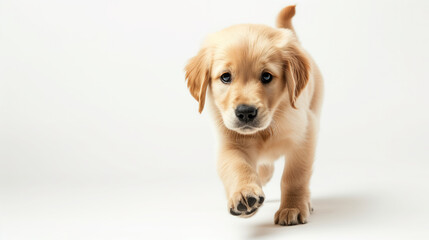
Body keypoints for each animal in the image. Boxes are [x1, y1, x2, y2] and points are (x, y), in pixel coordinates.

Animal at [184, 5, 320, 226]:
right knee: (264, 168)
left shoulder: (304, 134)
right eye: (225, 77)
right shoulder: (230, 143)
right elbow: (237, 167)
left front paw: (292, 207)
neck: (269, 125)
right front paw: (244, 195)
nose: (245, 112)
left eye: (266, 76)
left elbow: (295, 176)